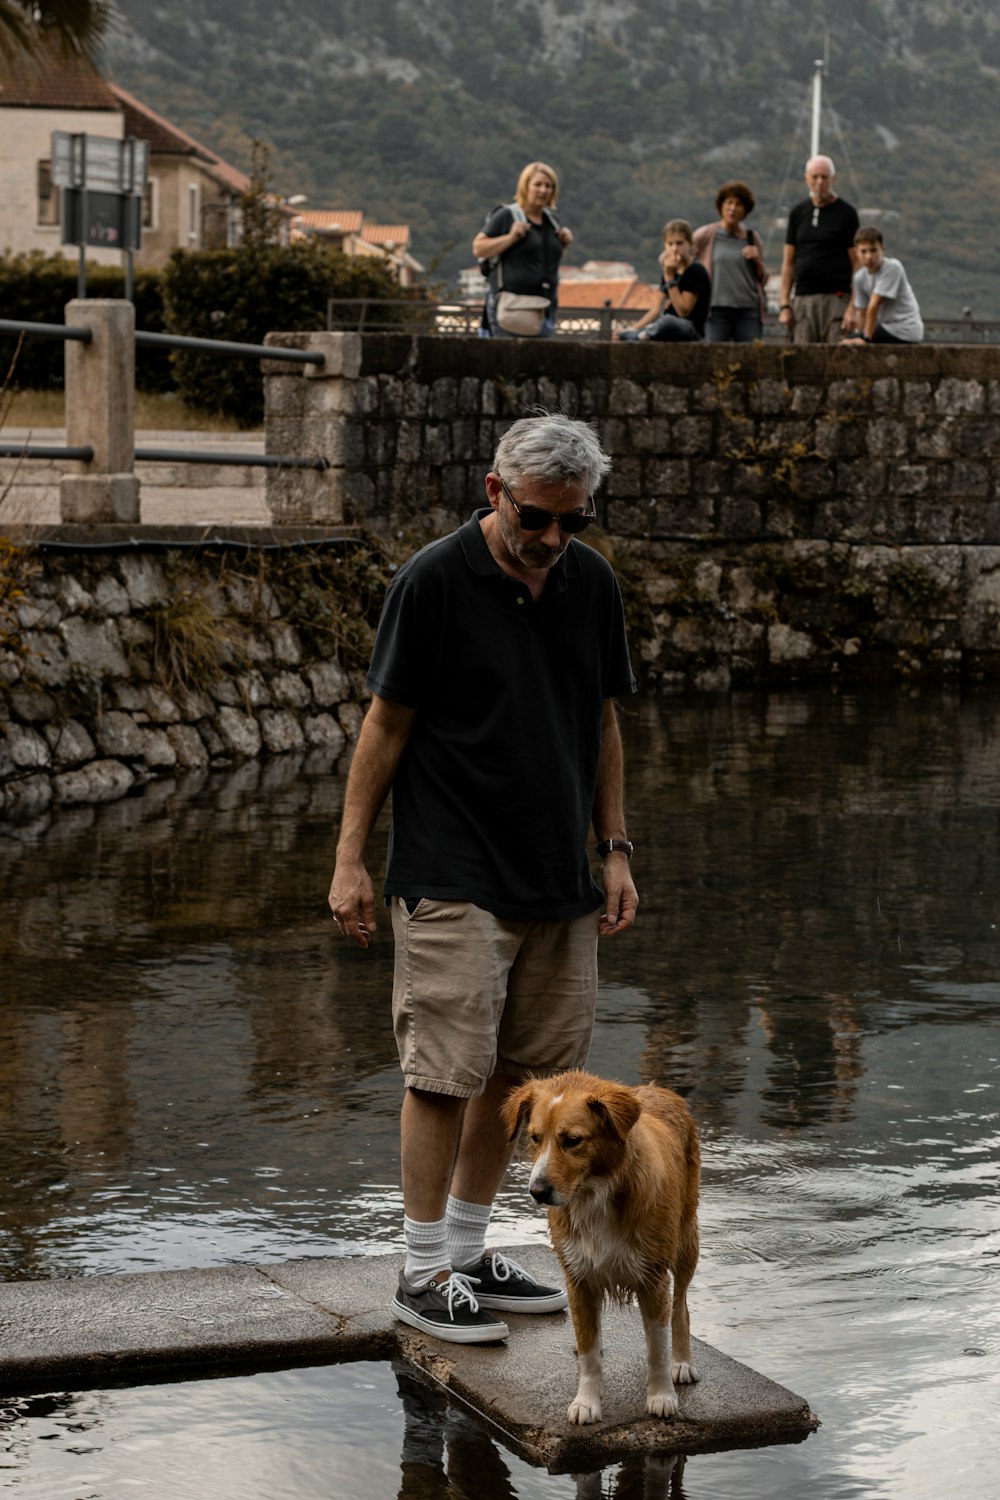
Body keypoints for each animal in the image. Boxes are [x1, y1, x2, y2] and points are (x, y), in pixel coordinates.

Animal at [503, 1074, 701, 1422]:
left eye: (572, 1140)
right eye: (535, 1138)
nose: (537, 1191)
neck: (596, 1193)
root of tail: (659, 1089)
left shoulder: (654, 1278)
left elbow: (657, 1349)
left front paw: (661, 1395)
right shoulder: (578, 1278)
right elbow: (589, 1353)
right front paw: (586, 1401)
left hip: (686, 1241)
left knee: (681, 1306)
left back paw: (682, 1361)